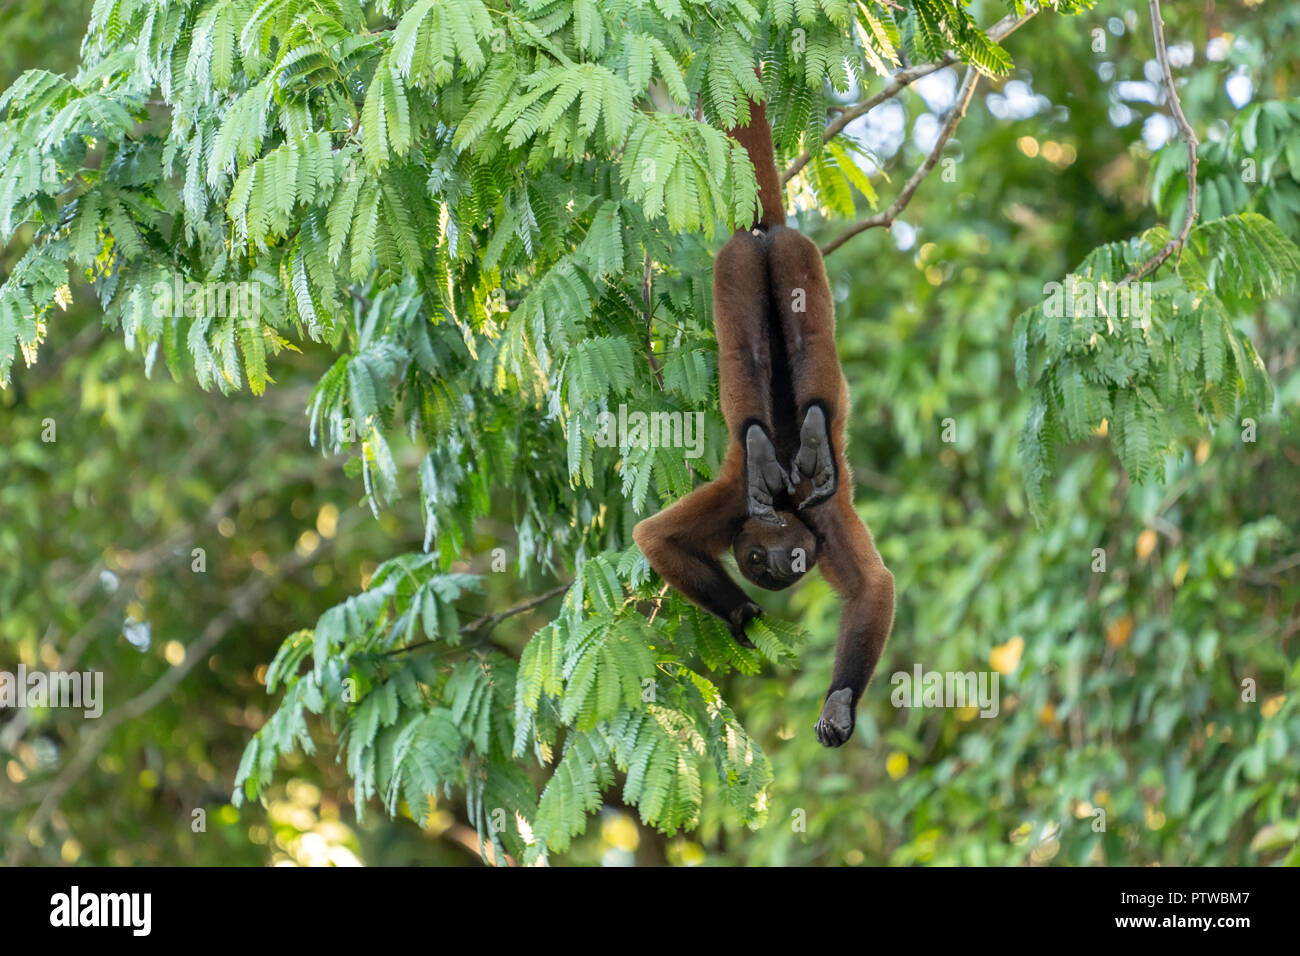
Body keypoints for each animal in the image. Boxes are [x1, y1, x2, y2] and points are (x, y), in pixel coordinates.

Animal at [632, 97, 895, 748]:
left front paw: (840, 703)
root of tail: (761, 234)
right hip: (741, 270)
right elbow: (655, 539)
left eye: (791, 563)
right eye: (756, 564)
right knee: (751, 349)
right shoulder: (737, 506)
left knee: (803, 339)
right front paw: (741, 611)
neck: (783, 508)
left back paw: (803, 432)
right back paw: (767, 438)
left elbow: (873, 587)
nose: (776, 567)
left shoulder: (819, 518)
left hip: (783, 258)